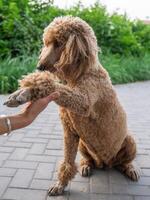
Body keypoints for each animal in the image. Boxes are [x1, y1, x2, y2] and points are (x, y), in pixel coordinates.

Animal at [4, 15, 141, 195]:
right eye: (46, 43)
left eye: (58, 43)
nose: (39, 66)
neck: (83, 73)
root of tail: (106, 163)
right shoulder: (69, 131)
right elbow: (68, 160)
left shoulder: (83, 102)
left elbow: (57, 88)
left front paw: (29, 87)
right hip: (84, 144)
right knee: (88, 159)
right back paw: (86, 166)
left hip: (129, 141)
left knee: (124, 162)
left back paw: (130, 168)